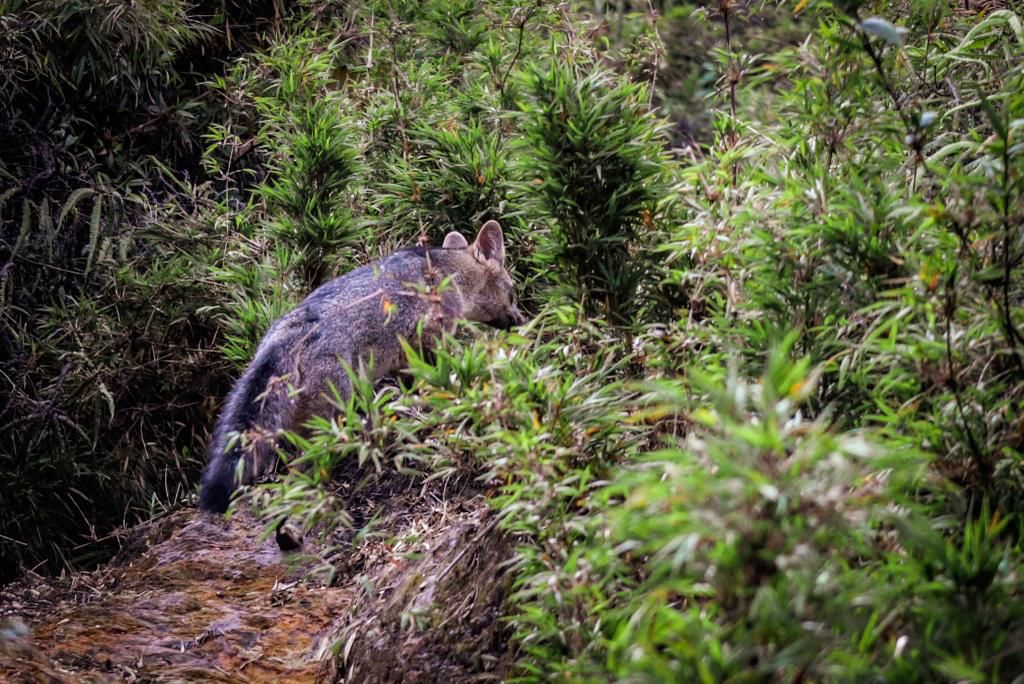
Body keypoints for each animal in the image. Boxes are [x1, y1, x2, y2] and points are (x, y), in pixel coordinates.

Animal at [199, 220, 524, 514]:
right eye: (512, 293)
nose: (521, 321)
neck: (448, 268)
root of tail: (285, 336)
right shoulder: (430, 338)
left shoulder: (402, 359)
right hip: (331, 417)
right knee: (304, 471)